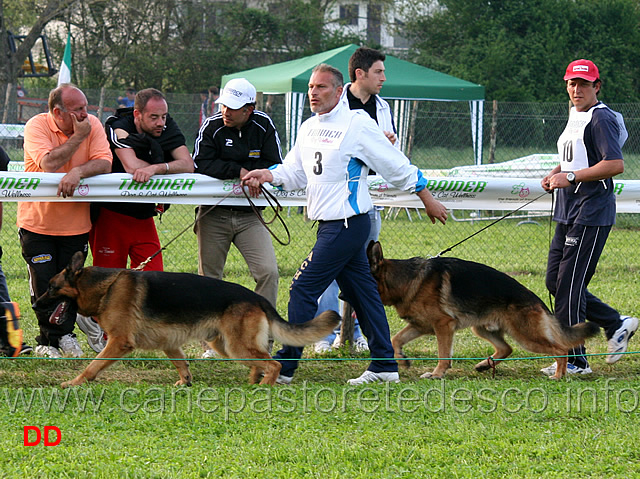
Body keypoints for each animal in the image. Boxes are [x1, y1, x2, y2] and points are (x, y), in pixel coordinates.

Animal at [33, 253, 340, 388]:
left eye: (50, 287)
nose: (34, 304)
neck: (107, 286)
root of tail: (257, 298)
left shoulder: (119, 343)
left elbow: (93, 366)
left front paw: (74, 383)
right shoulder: (170, 344)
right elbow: (181, 364)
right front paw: (185, 382)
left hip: (235, 346)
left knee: (273, 363)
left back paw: (264, 387)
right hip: (225, 345)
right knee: (259, 361)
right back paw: (253, 381)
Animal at [364, 242, 600, 380]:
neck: (406, 280)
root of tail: (536, 299)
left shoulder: (443, 326)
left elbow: (443, 354)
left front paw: (437, 373)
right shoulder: (421, 326)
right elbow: (395, 339)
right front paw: (402, 359)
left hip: (526, 336)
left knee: (561, 349)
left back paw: (559, 375)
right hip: (482, 329)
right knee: (506, 348)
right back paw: (485, 365)